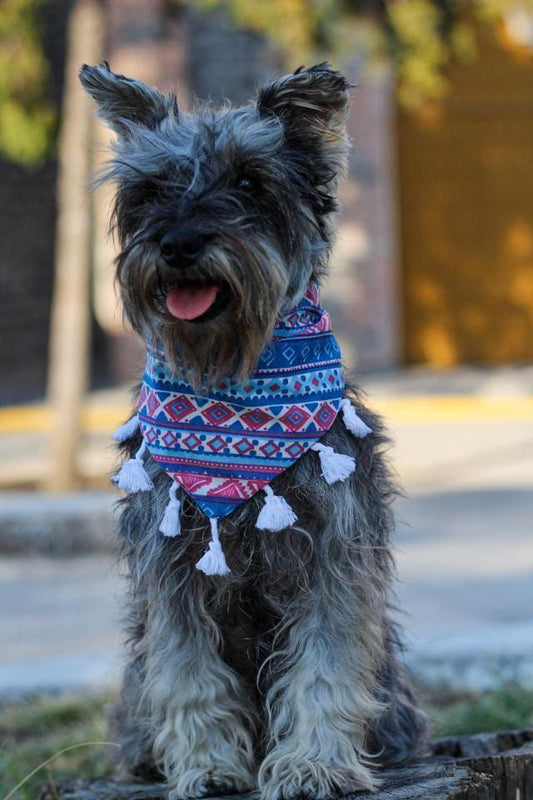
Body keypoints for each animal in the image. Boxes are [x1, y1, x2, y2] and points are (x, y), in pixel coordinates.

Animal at [79, 62, 428, 800]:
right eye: (151, 188)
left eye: (247, 181)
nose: (178, 244)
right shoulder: (171, 565)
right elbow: (188, 672)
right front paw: (209, 768)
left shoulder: (332, 552)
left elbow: (324, 666)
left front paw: (314, 765)